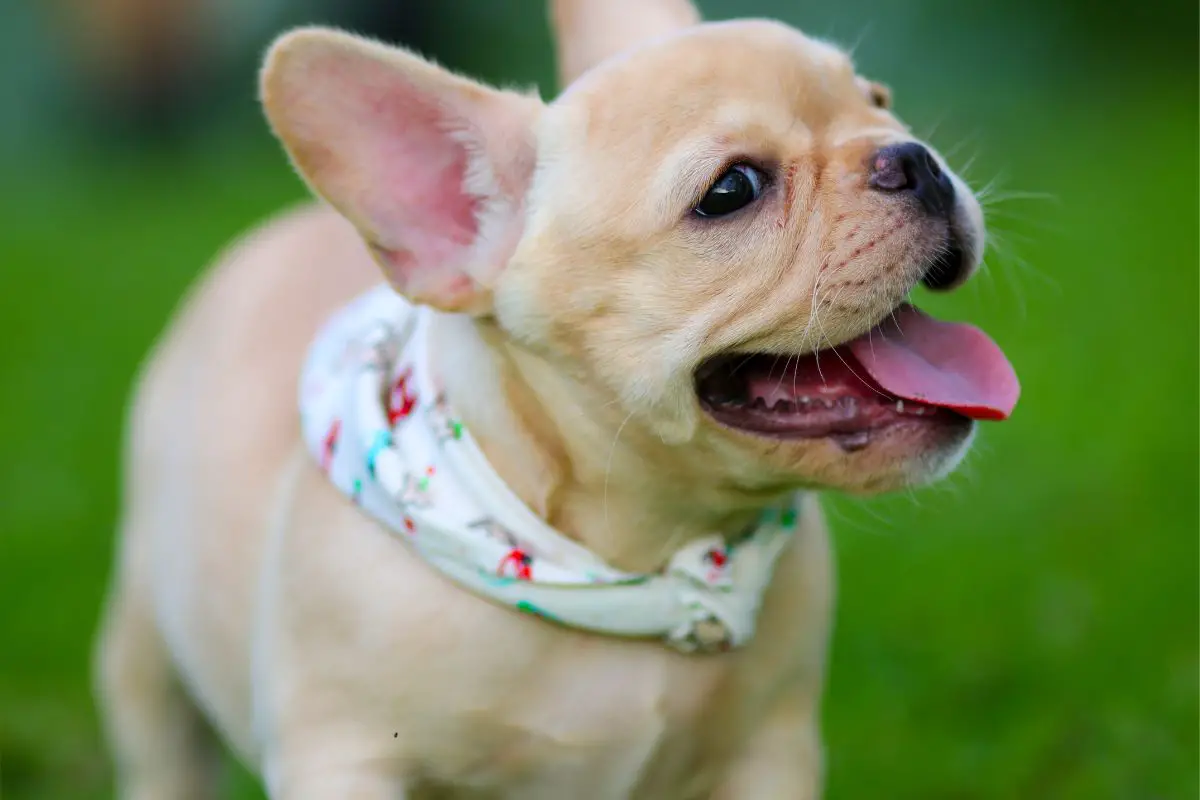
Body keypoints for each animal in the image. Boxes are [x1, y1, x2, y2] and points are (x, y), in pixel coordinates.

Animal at [91, 3, 1022, 796]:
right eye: (732, 190)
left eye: (880, 101)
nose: (913, 157)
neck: (637, 555)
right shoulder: (344, 758)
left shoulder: (772, 751)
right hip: (146, 646)